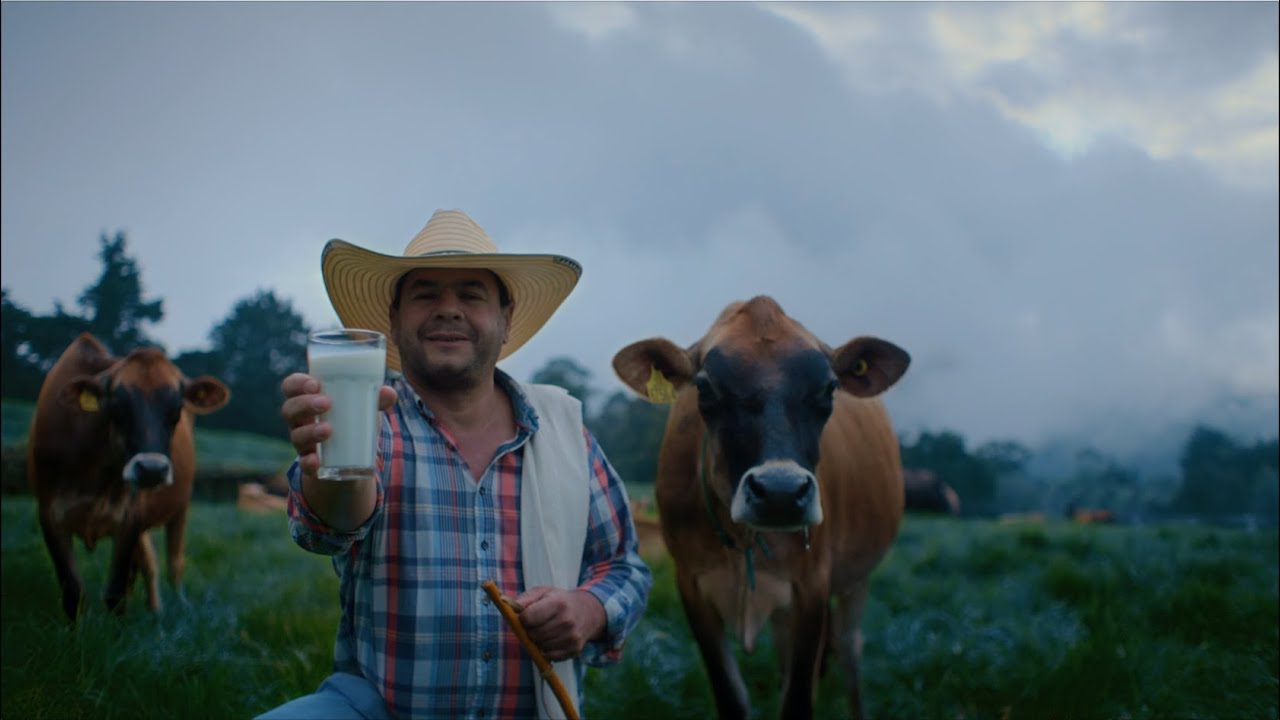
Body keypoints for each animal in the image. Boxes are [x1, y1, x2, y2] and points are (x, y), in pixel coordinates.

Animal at [26, 330, 229, 617]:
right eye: (117, 405)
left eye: (176, 409)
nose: (152, 469)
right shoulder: (49, 514)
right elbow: (74, 592)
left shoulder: (130, 517)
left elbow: (115, 593)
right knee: (147, 561)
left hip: (181, 507)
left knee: (173, 562)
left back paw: (169, 608)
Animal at [611, 294, 906, 712]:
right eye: (704, 387)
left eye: (830, 387)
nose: (781, 492)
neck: (743, 541)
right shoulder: (691, 585)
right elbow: (732, 695)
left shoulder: (812, 587)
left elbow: (798, 697)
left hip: (857, 578)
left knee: (850, 650)